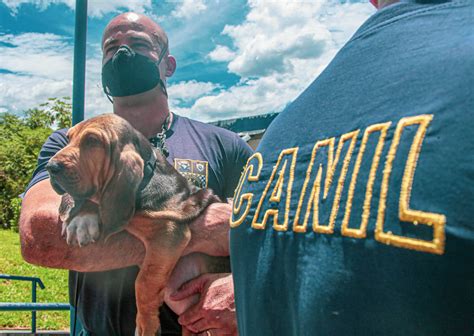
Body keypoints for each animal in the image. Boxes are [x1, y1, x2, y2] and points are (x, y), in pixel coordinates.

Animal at [45, 114, 221, 334]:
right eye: (68, 138)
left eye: (92, 141)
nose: (50, 167)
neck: (147, 179)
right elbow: (97, 199)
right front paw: (81, 219)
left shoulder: (168, 232)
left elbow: (143, 282)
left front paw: (146, 324)